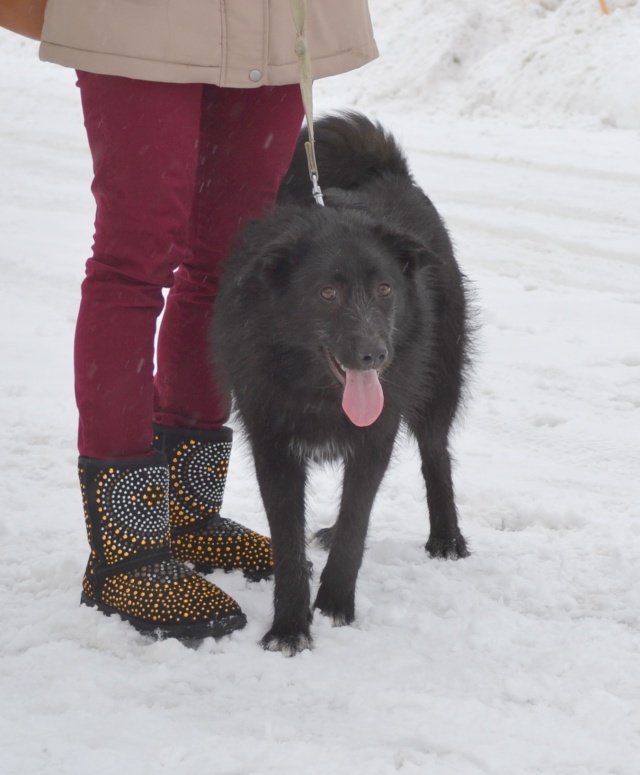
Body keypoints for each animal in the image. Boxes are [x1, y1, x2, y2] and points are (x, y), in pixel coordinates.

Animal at [212, 112, 472, 655]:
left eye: (385, 288)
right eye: (327, 293)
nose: (375, 353)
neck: (319, 392)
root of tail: (389, 172)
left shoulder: (376, 436)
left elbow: (358, 520)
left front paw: (334, 605)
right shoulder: (272, 443)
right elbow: (287, 539)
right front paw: (289, 626)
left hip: (440, 381)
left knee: (435, 453)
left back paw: (446, 537)